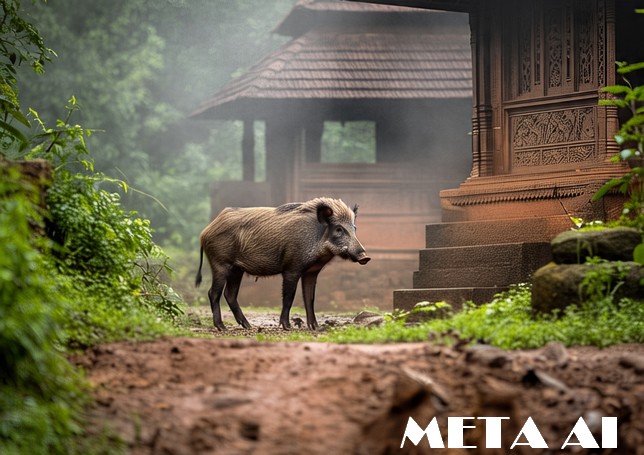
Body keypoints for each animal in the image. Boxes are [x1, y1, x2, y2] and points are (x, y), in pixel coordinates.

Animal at [195, 197, 370, 331]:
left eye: (354, 228)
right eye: (339, 229)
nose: (365, 257)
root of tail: (204, 232)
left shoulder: (311, 272)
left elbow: (310, 298)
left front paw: (315, 327)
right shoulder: (292, 268)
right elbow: (289, 296)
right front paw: (287, 327)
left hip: (237, 270)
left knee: (230, 294)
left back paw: (248, 326)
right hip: (220, 264)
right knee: (213, 293)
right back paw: (222, 327)